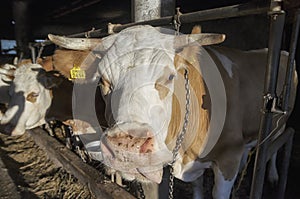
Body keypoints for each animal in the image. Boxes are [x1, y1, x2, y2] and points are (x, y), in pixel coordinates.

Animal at [49, 25, 298, 199]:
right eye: (103, 81)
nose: (126, 147)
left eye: (169, 76)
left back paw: (273, 176)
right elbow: (196, 187)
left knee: (274, 147)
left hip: (280, 123)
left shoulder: (228, 158)